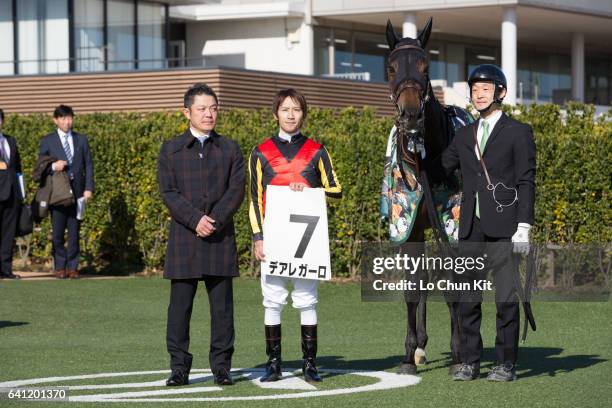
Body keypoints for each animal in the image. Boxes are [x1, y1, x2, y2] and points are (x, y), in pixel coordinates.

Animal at [380, 18, 470, 376]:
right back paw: (420, 347)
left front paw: (459, 351)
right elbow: (413, 288)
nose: (410, 116)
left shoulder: (452, 226)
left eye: (425, 66)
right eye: (391, 68)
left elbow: (454, 283)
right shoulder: (410, 228)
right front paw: (409, 354)